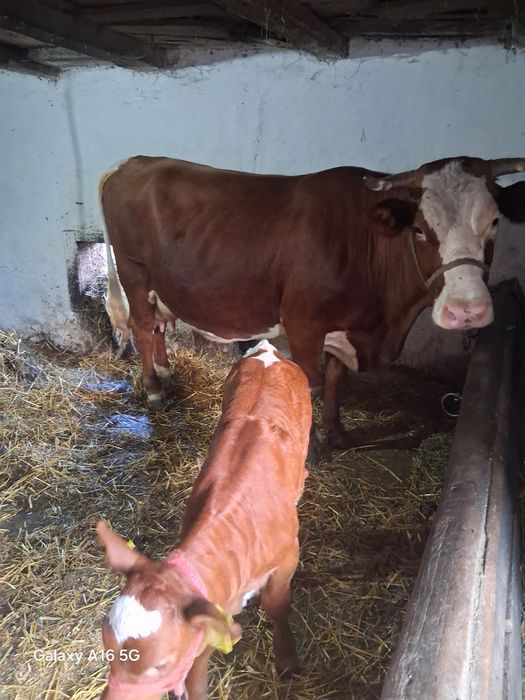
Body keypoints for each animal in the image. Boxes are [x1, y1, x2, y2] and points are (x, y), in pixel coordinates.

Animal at [97, 340, 311, 700]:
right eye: (107, 648)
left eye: (161, 664)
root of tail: (268, 352)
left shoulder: (287, 558)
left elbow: (277, 607)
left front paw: (288, 660)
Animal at [99, 155, 525, 457]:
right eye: (420, 229)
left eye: (494, 222)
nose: (467, 310)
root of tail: (135, 161)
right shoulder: (303, 322)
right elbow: (311, 384)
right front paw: (311, 450)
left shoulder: (344, 325)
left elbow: (336, 379)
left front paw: (337, 435)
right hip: (134, 271)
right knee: (142, 326)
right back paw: (154, 390)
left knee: (157, 324)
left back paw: (166, 371)